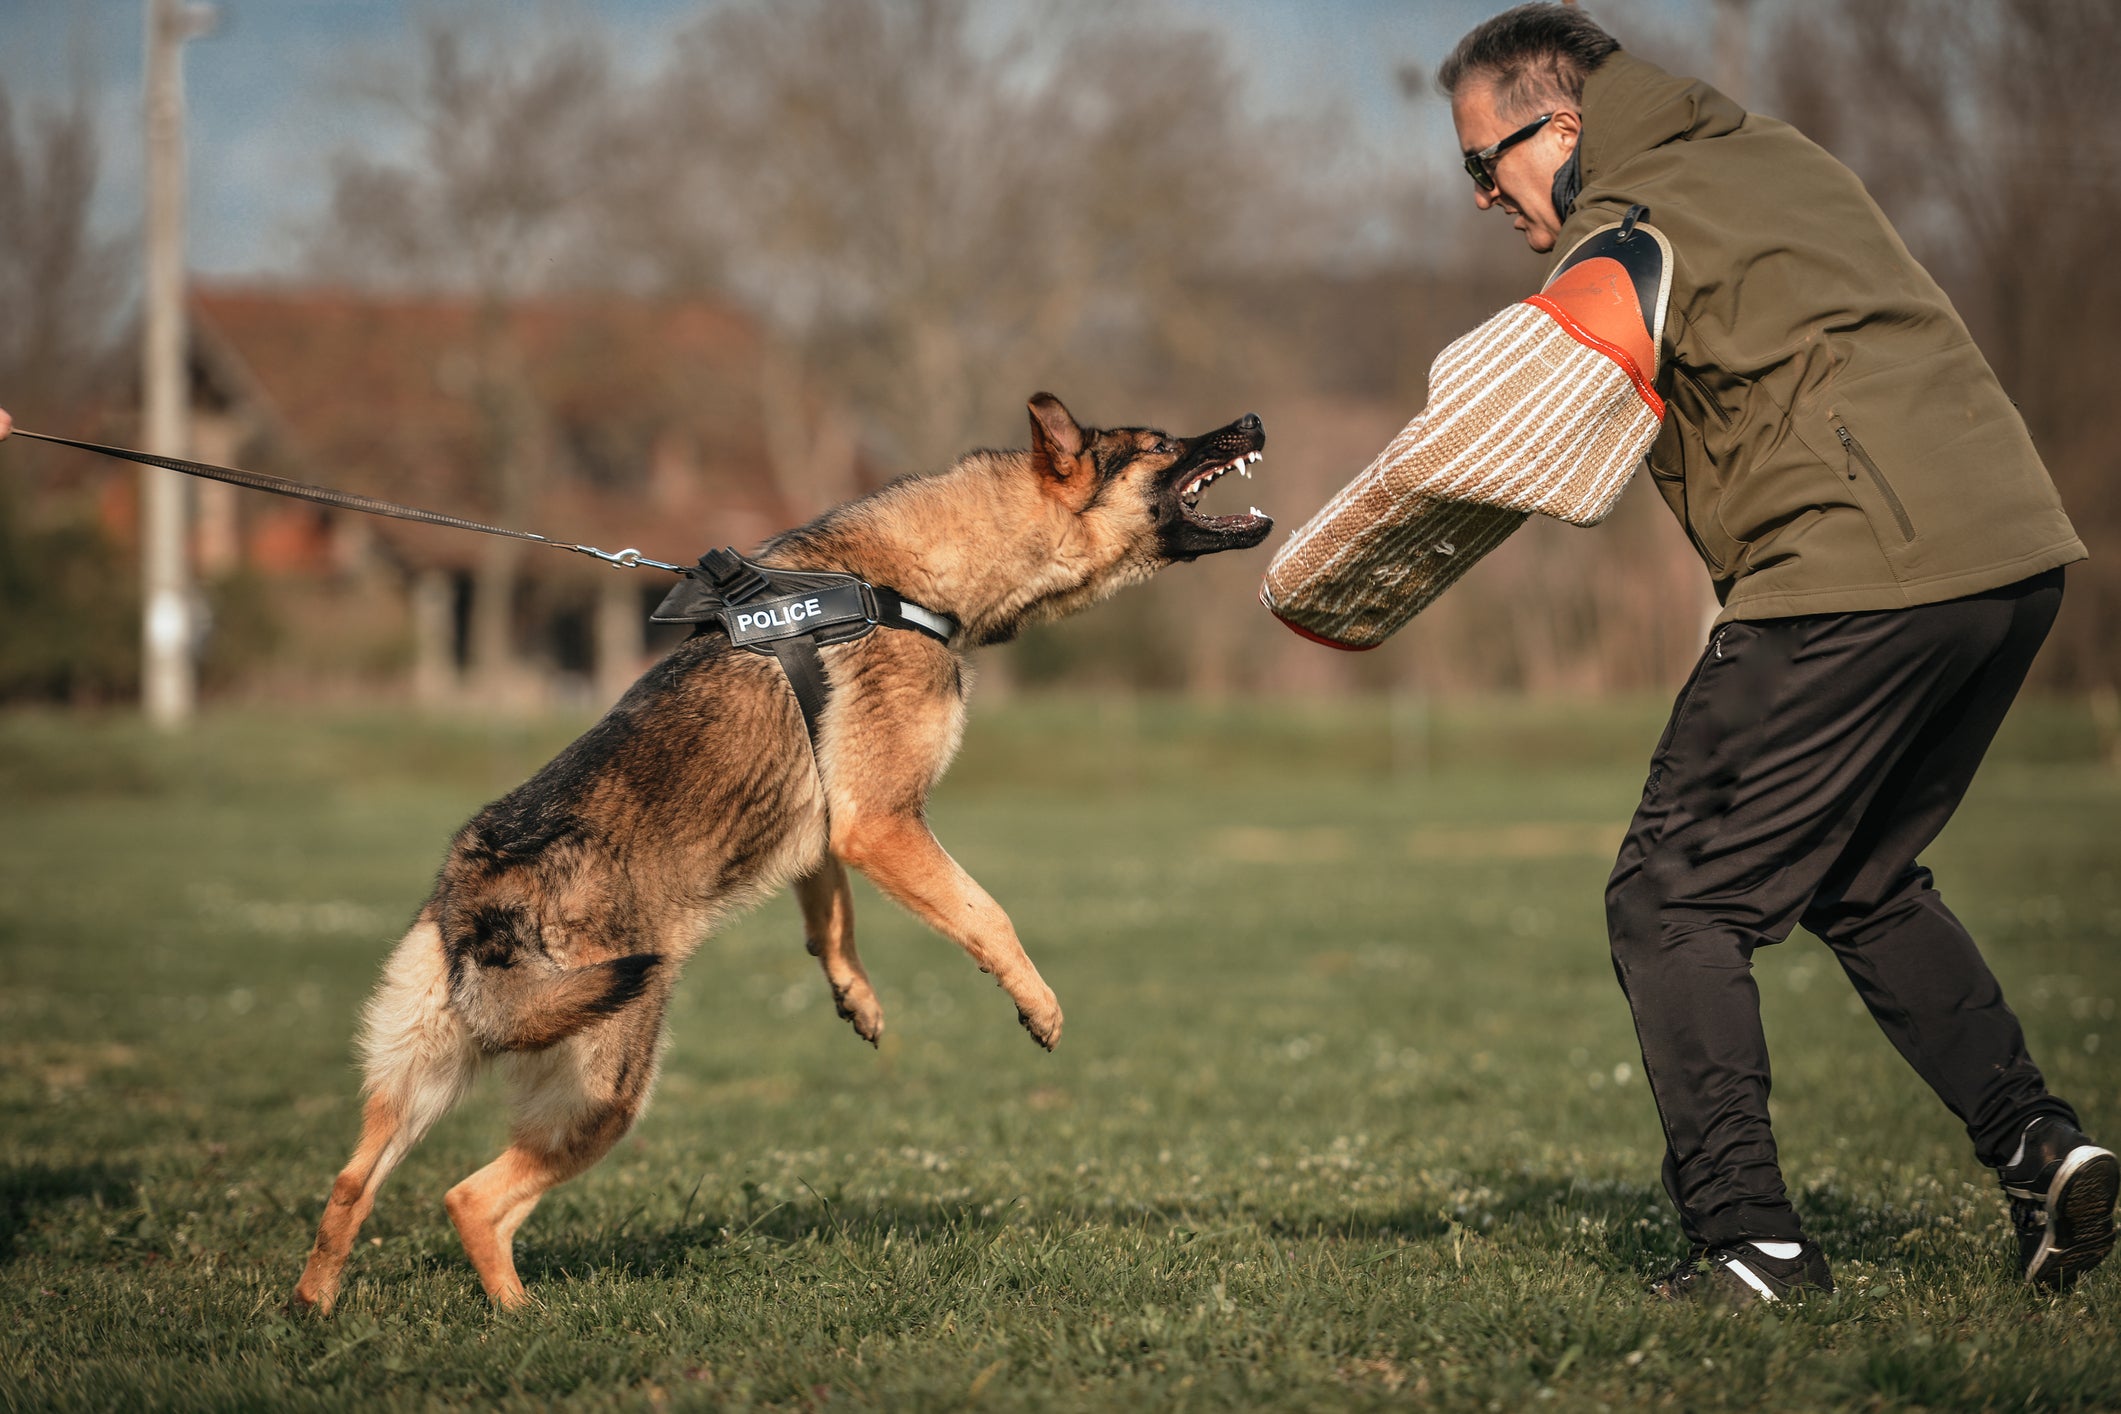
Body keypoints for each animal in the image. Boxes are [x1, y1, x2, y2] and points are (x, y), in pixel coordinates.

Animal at [290, 390, 1264, 1314]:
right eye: (1159, 443)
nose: (1254, 421)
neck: (905, 580)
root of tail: (472, 896)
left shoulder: (827, 831)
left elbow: (832, 921)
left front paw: (856, 998)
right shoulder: (881, 822)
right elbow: (986, 912)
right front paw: (1037, 1005)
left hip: (419, 1080)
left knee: (349, 1186)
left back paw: (316, 1309)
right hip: (605, 1088)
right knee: (471, 1200)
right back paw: (521, 1315)